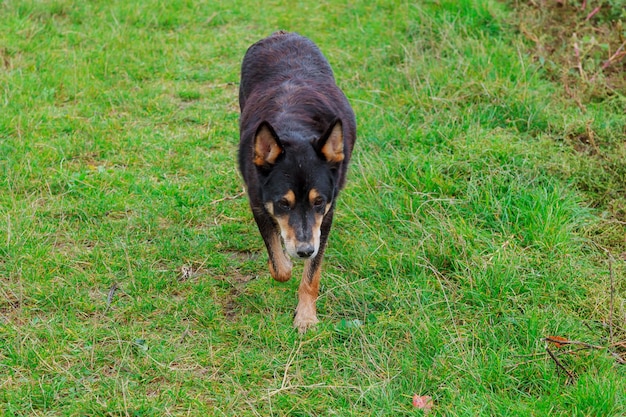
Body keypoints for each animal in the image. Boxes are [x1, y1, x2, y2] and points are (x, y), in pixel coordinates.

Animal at [239, 31, 354, 332]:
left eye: (319, 202)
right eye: (283, 203)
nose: (304, 251)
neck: (294, 129)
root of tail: (280, 33)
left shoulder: (325, 217)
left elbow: (312, 275)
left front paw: (306, 317)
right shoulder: (258, 202)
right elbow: (280, 267)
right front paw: (284, 264)